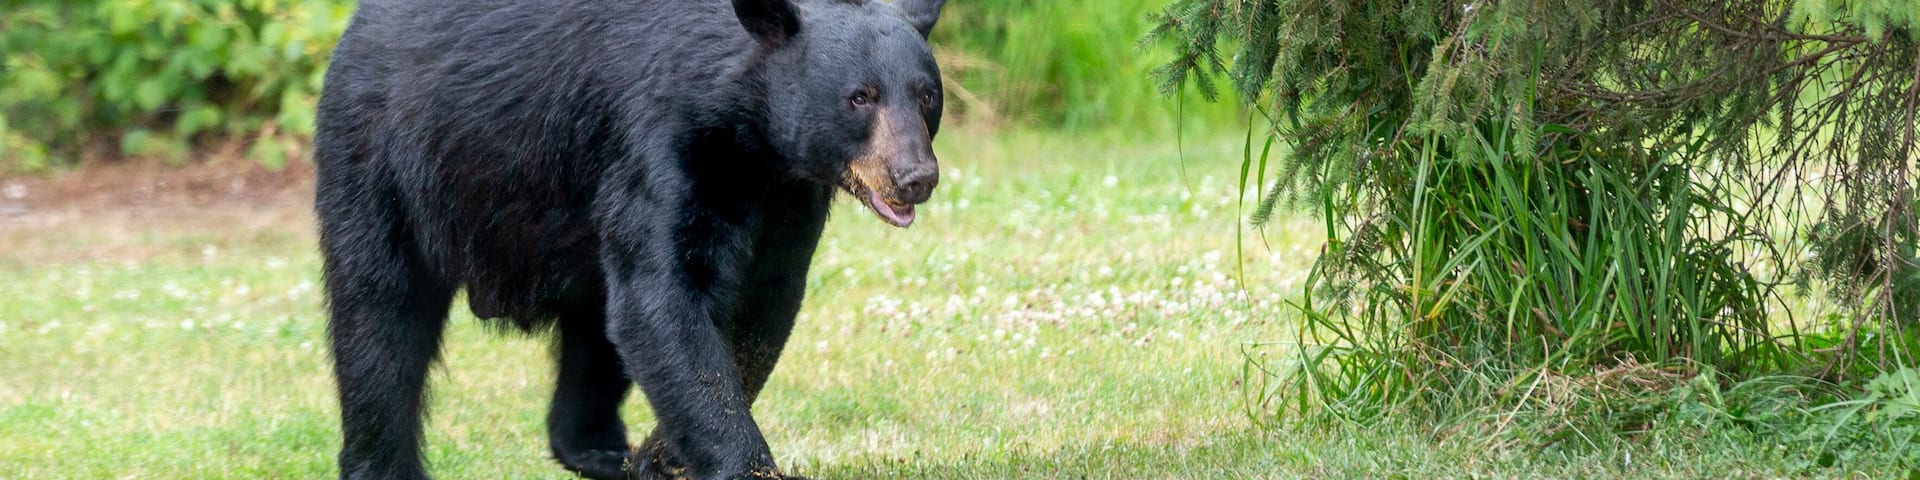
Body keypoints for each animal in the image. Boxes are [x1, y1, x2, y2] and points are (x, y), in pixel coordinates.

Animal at [310, 0, 947, 478]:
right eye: (859, 96)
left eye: (927, 96)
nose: (915, 177)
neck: (750, 147)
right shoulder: (659, 145)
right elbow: (659, 302)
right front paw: (739, 463)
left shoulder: (787, 201)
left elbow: (759, 311)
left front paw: (662, 458)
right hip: (379, 161)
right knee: (379, 321)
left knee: (593, 334)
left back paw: (600, 450)